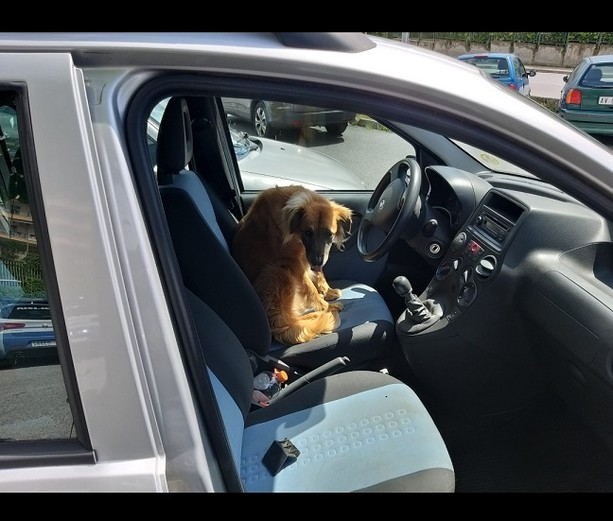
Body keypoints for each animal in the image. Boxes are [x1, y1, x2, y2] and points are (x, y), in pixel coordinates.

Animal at [231, 185, 354, 344]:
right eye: (307, 232)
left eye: (329, 234)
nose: (317, 262)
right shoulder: (293, 262)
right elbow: (310, 288)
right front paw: (325, 306)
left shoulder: (307, 256)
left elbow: (319, 275)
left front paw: (327, 291)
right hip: (278, 272)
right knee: (287, 322)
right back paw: (323, 314)